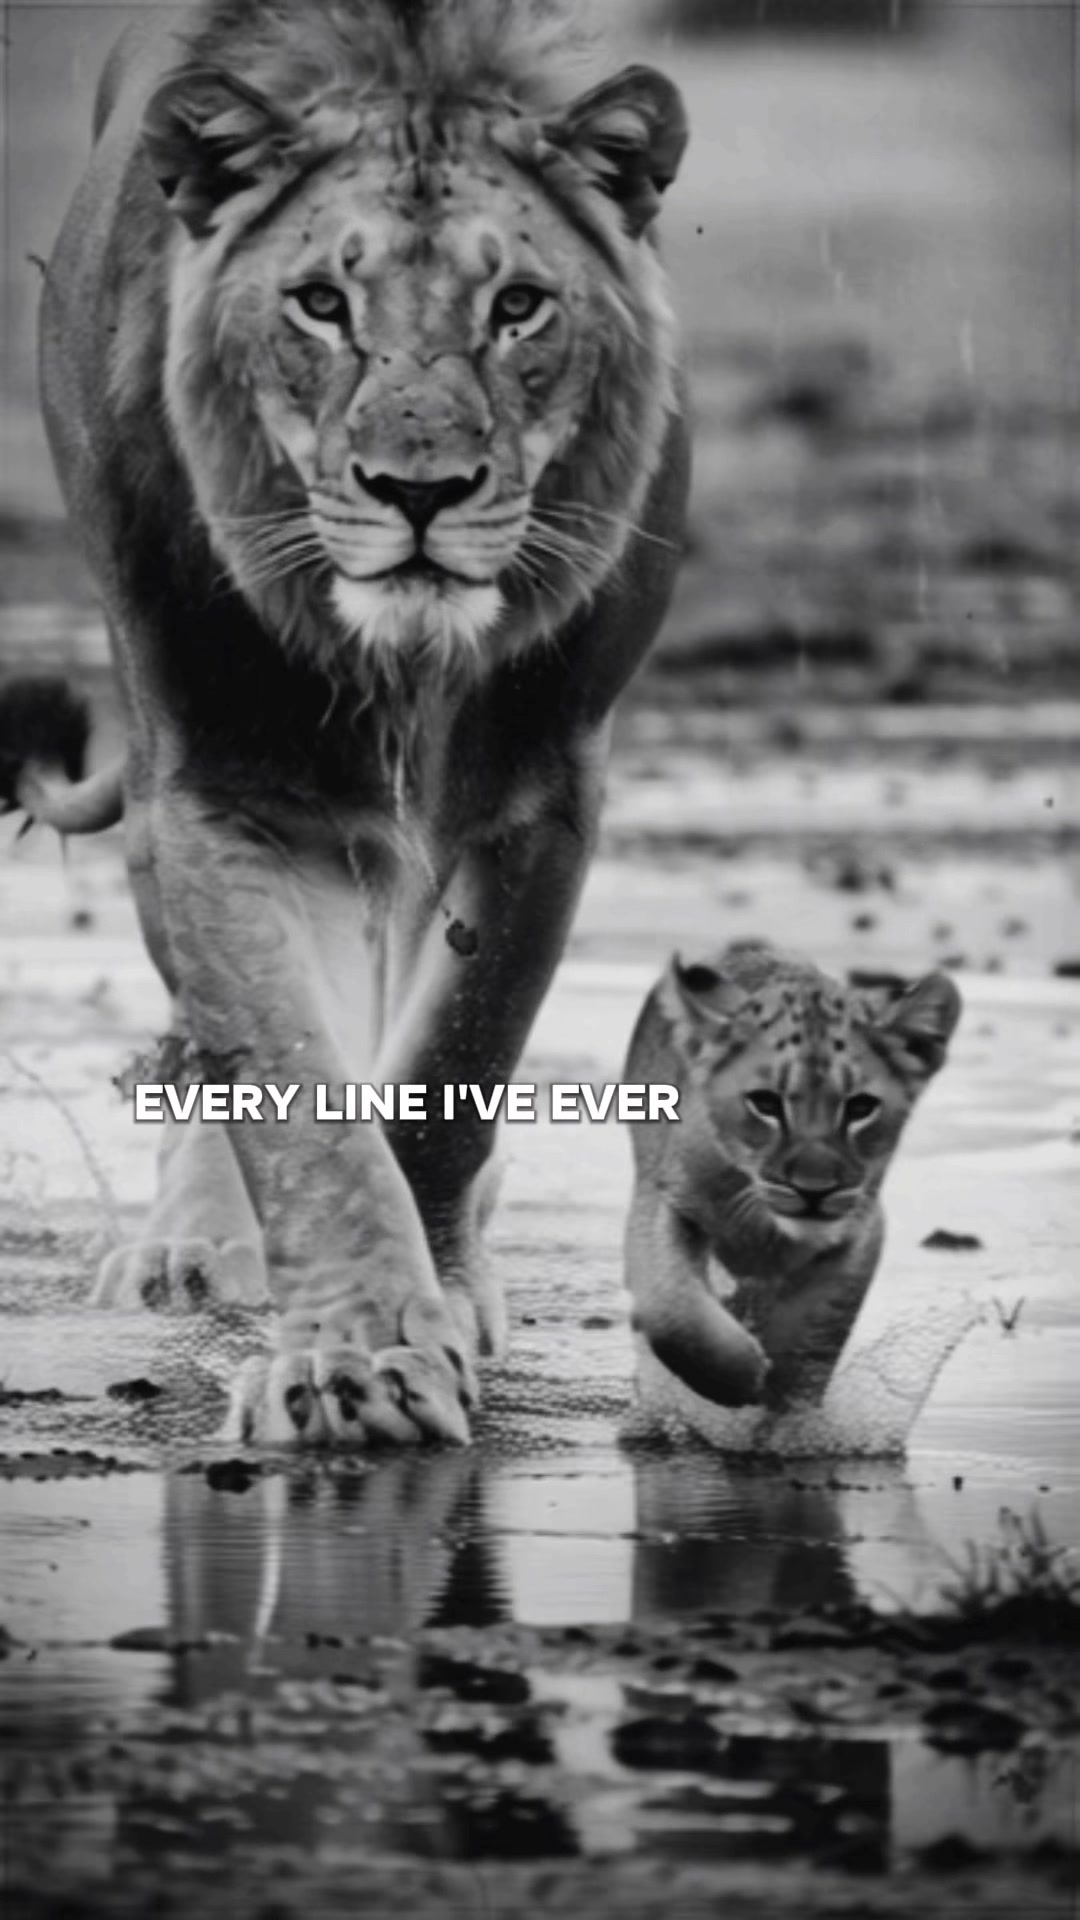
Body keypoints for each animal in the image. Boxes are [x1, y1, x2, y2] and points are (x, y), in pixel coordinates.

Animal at [27, 0, 690, 1448]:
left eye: (518, 306)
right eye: (320, 306)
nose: (418, 491)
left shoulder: (548, 782)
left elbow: (453, 1061)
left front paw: (443, 1289)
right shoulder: (219, 782)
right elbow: (294, 1092)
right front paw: (357, 1362)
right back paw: (192, 1246)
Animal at [622, 941, 961, 1412]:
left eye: (860, 1108)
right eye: (765, 1103)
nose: (813, 1191)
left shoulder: (859, 1233)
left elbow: (815, 1336)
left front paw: (789, 1411)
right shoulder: (667, 1200)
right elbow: (672, 1311)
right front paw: (740, 1378)